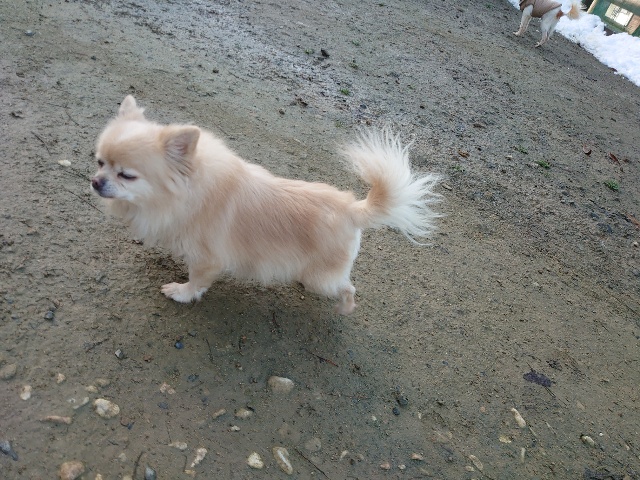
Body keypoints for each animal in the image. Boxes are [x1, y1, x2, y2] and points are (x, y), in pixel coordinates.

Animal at [91, 96, 442, 314]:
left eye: (127, 175)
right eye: (99, 162)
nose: (95, 182)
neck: (187, 189)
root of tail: (352, 208)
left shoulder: (207, 259)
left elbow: (197, 281)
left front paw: (182, 293)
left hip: (322, 279)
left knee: (347, 288)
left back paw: (345, 307)